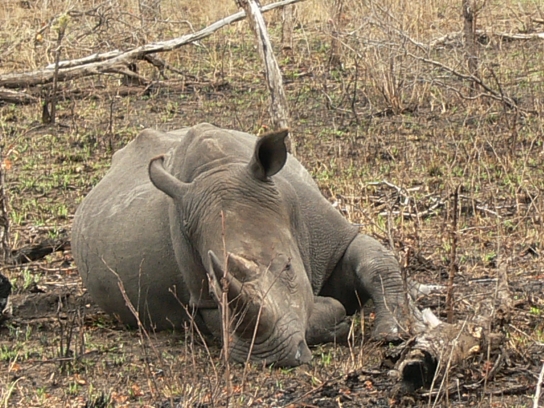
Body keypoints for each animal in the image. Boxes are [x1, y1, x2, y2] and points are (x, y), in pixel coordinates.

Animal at [72, 123, 426, 366]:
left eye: (288, 267)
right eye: (213, 289)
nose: (270, 358)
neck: (221, 168)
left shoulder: (331, 233)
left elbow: (375, 261)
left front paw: (393, 332)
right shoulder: (201, 299)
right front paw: (334, 316)